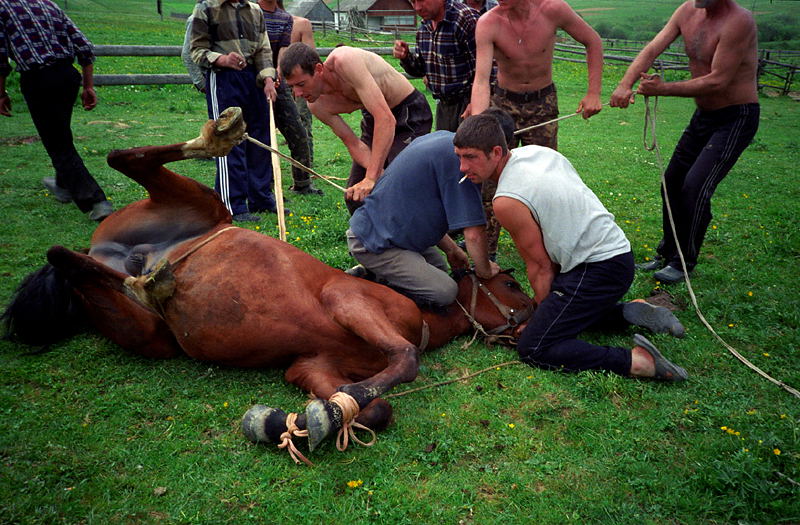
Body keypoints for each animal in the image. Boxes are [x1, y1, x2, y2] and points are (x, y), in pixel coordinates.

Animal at [3, 107, 536, 462]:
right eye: (511, 283)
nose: (533, 318)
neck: (422, 313)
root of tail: (117, 252)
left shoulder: (310, 367)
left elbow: (371, 406)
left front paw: (300, 420)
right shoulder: (349, 301)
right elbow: (404, 362)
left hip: (150, 327)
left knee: (73, 255)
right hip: (203, 215)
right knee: (105, 189)